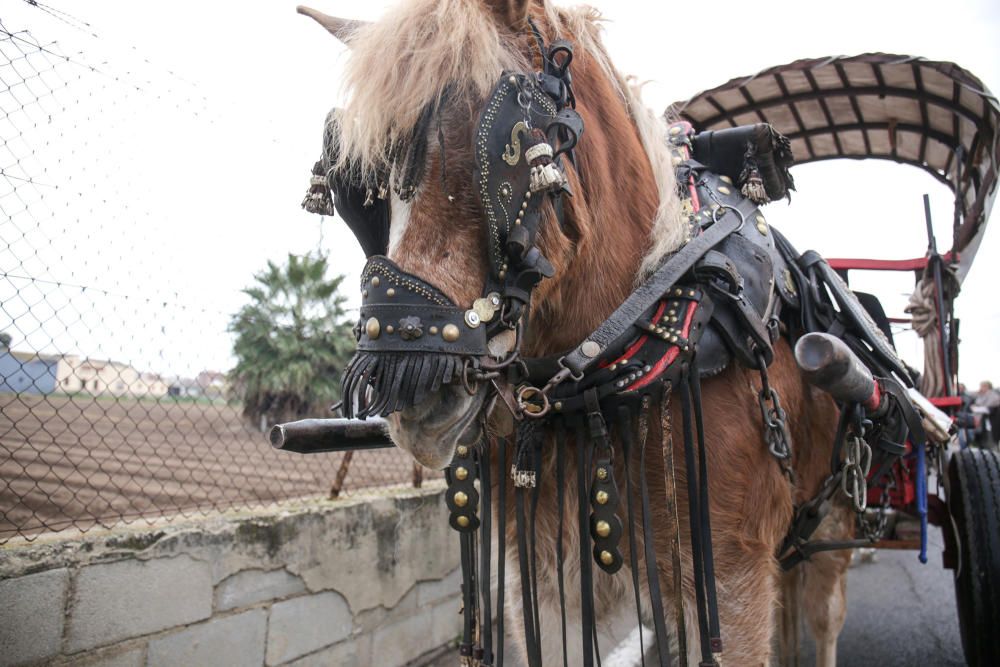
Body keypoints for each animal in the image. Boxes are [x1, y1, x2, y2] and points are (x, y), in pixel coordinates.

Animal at [300, 2, 856, 664]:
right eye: (355, 187)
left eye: (510, 144)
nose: (408, 386)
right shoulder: (541, 576)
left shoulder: (731, 574)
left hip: (833, 517)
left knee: (823, 614)